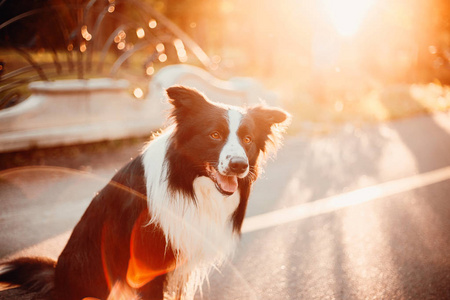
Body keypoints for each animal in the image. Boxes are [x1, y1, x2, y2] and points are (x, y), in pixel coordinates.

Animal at [0, 85, 288, 298]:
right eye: (215, 135)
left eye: (248, 140)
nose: (240, 165)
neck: (188, 182)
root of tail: (57, 277)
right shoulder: (150, 262)